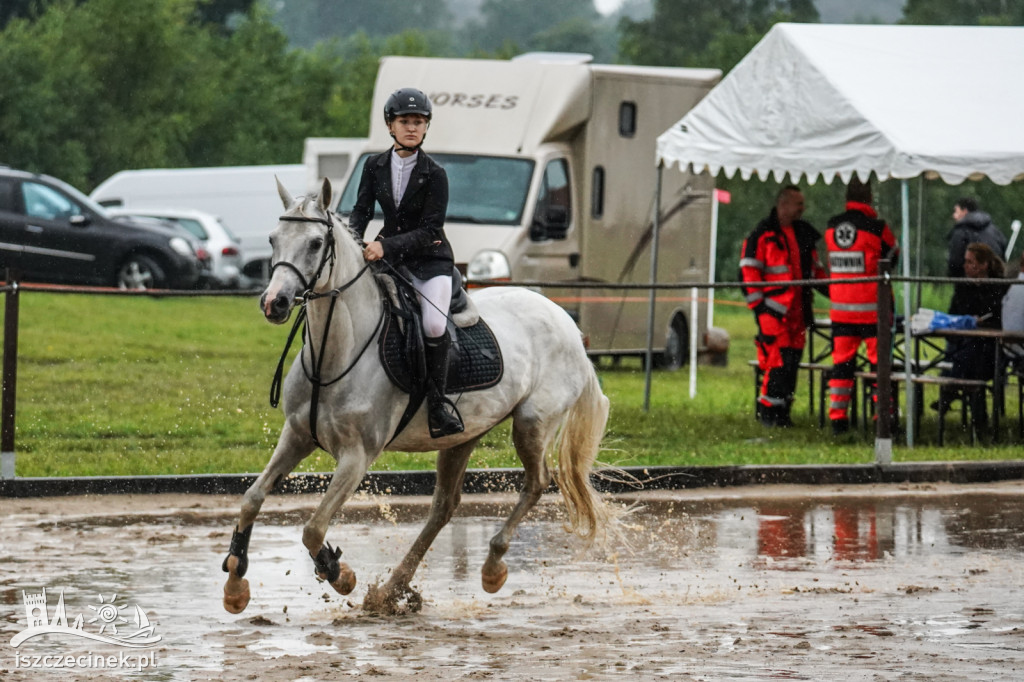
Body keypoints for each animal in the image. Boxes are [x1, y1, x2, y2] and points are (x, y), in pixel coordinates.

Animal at [224, 178, 614, 614]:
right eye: (273, 239)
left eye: (314, 243)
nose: (273, 303)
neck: (336, 351)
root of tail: (569, 324)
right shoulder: (296, 435)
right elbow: (252, 498)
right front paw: (235, 582)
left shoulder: (357, 457)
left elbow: (313, 528)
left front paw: (341, 575)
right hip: (463, 436)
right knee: (444, 506)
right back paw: (394, 588)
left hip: (532, 425)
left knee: (536, 482)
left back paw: (492, 566)